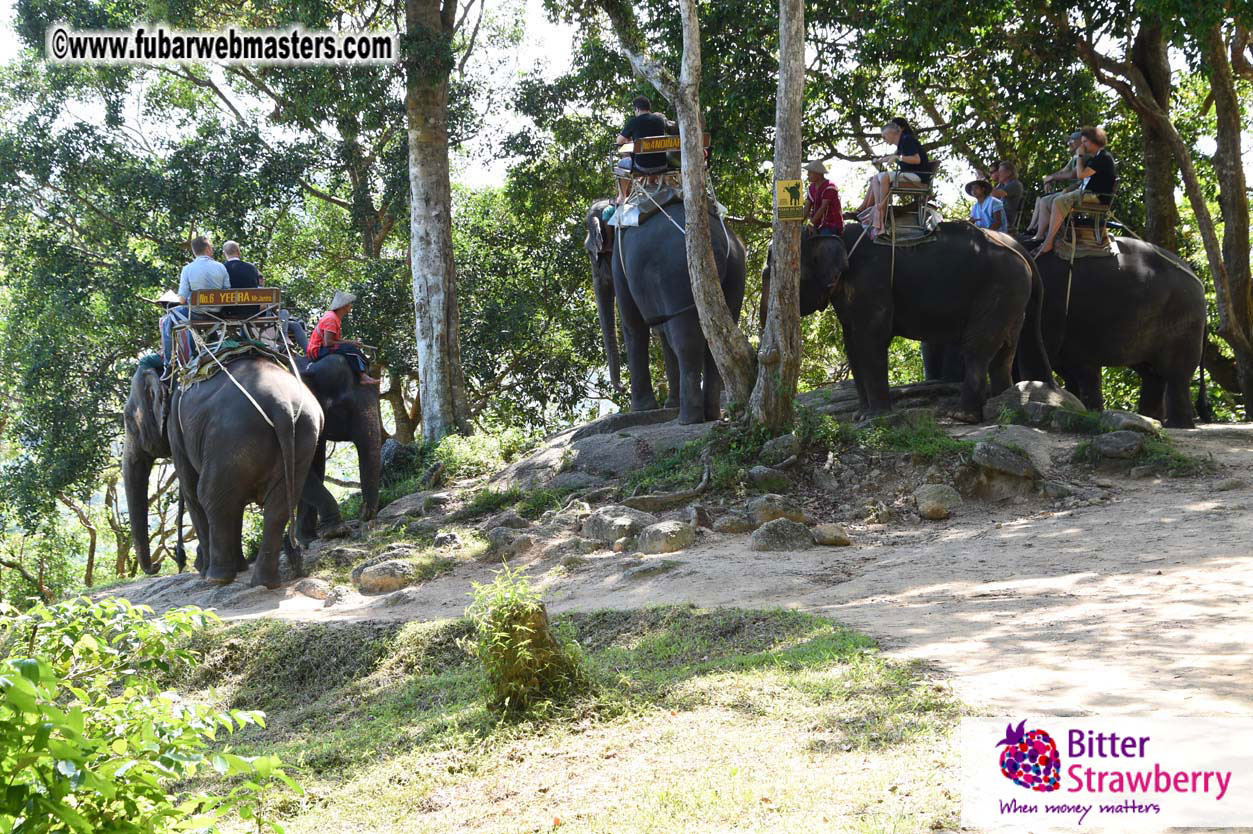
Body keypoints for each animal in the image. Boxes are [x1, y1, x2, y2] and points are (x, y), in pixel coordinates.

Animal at [160, 356, 322, 587]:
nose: (181, 558)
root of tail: (281, 407)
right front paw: (241, 567)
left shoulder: (176, 429)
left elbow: (192, 492)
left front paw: (205, 571)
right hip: (305, 435)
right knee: (277, 507)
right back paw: (266, 582)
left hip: (231, 435)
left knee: (209, 496)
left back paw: (216, 578)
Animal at [609, 198, 748, 424]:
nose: (620, 389)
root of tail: (716, 246)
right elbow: (663, 334)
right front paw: (668, 405)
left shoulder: (619, 265)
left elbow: (633, 326)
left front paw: (640, 409)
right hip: (736, 271)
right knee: (718, 338)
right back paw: (710, 415)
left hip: (676, 275)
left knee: (687, 342)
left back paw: (688, 418)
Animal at [777, 222, 1053, 421]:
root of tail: (1022, 252)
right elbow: (853, 344)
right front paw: (860, 416)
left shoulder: (871, 282)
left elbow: (871, 340)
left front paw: (874, 418)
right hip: (1013, 297)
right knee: (1004, 352)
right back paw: (1000, 408)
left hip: (999, 288)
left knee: (977, 348)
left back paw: (961, 416)